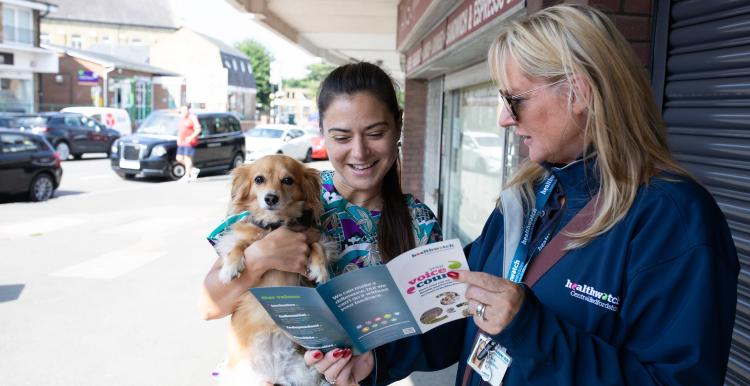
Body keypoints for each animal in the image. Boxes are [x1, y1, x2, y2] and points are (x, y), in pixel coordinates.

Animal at [216, 155, 336, 386]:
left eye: (288, 180)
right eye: (259, 179)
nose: (270, 198)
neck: (275, 225)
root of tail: (274, 373)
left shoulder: (314, 239)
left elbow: (317, 247)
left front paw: (319, 270)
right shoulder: (238, 239)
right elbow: (238, 246)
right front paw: (230, 269)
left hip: (305, 373)